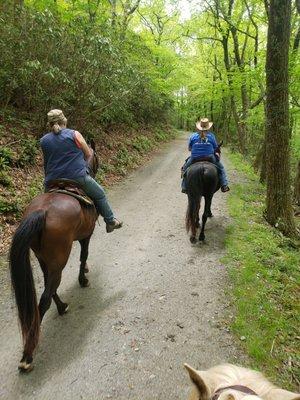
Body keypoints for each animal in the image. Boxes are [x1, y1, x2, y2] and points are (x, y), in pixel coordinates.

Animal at [8, 140, 98, 372]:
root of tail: (42, 212)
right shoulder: (86, 236)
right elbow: (84, 255)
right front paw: (83, 279)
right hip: (59, 258)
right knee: (45, 296)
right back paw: (27, 356)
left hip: (44, 258)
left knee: (51, 286)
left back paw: (62, 306)